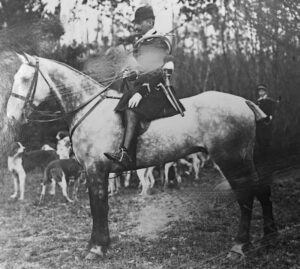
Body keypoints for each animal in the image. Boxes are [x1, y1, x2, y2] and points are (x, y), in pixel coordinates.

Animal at [7, 52, 278, 258]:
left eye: (25, 78)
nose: (11, 117)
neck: (89, 108)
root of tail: (244, 102)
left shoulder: (96, 171)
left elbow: (98, 207)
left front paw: (97, 248)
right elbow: (100, 207)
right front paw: (100, 244)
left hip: (231, 160)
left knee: (246, 195)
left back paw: (240, 245)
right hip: (244, 159)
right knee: (262, 190)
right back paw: (269, 237)